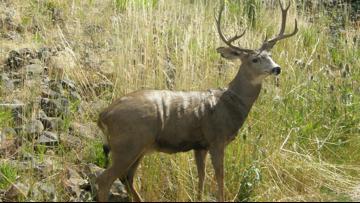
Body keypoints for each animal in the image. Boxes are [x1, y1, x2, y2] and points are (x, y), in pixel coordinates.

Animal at [95, 0, 298, 201]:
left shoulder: (200, 145)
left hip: (139, 146)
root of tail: (103, 115)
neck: (230, 103)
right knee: (105, 179)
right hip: (128, 143)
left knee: (127, 178)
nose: (277, 68)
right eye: (255, 59)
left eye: (270, 56)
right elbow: (219, 176)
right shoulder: (216, 139)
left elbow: (201, 176)